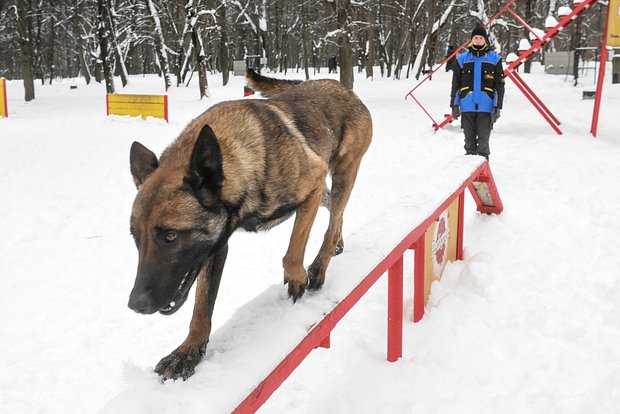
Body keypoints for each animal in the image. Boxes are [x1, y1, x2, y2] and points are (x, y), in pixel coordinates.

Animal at [128, 68, 370, 382]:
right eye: (135, 238)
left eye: (170, 236)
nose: (135, 304)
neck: (240, 159)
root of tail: (340, 86)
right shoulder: (216, 248)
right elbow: (201, 308)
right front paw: (188, 352)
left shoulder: (312, 184)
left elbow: (292, 252)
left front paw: (298, 278)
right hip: (329, 189)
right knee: (333, 214)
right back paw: (337, 244)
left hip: (344, 174)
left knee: (332, 221)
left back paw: (319, 267)